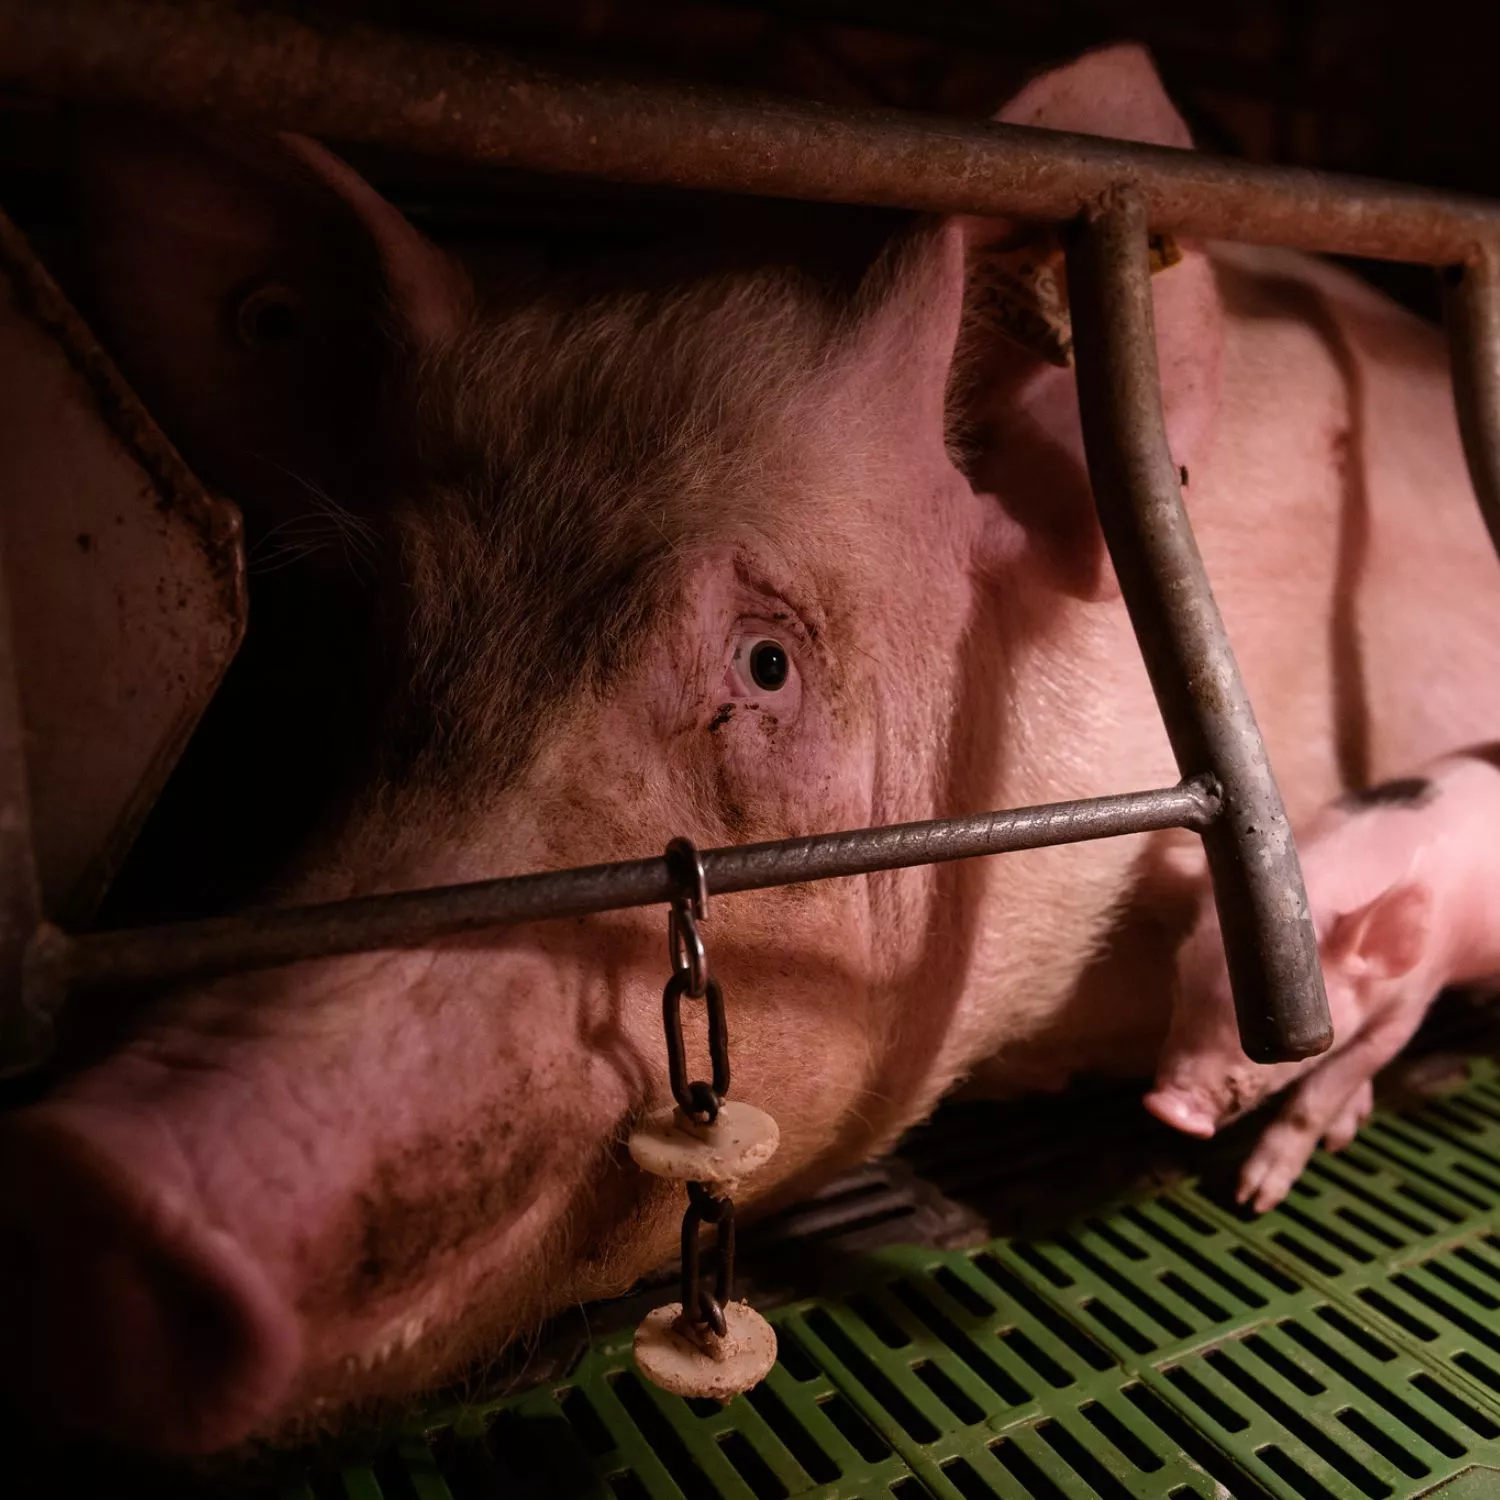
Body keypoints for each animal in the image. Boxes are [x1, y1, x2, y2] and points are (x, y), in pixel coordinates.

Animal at [1146, 748, 1500, 1212]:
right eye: (1179, 987)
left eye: (1276, 1046)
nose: (1166, 1108)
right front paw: (1343, 1130)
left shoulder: (1413, 997)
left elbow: (1321, 1093)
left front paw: (1254, 1200)